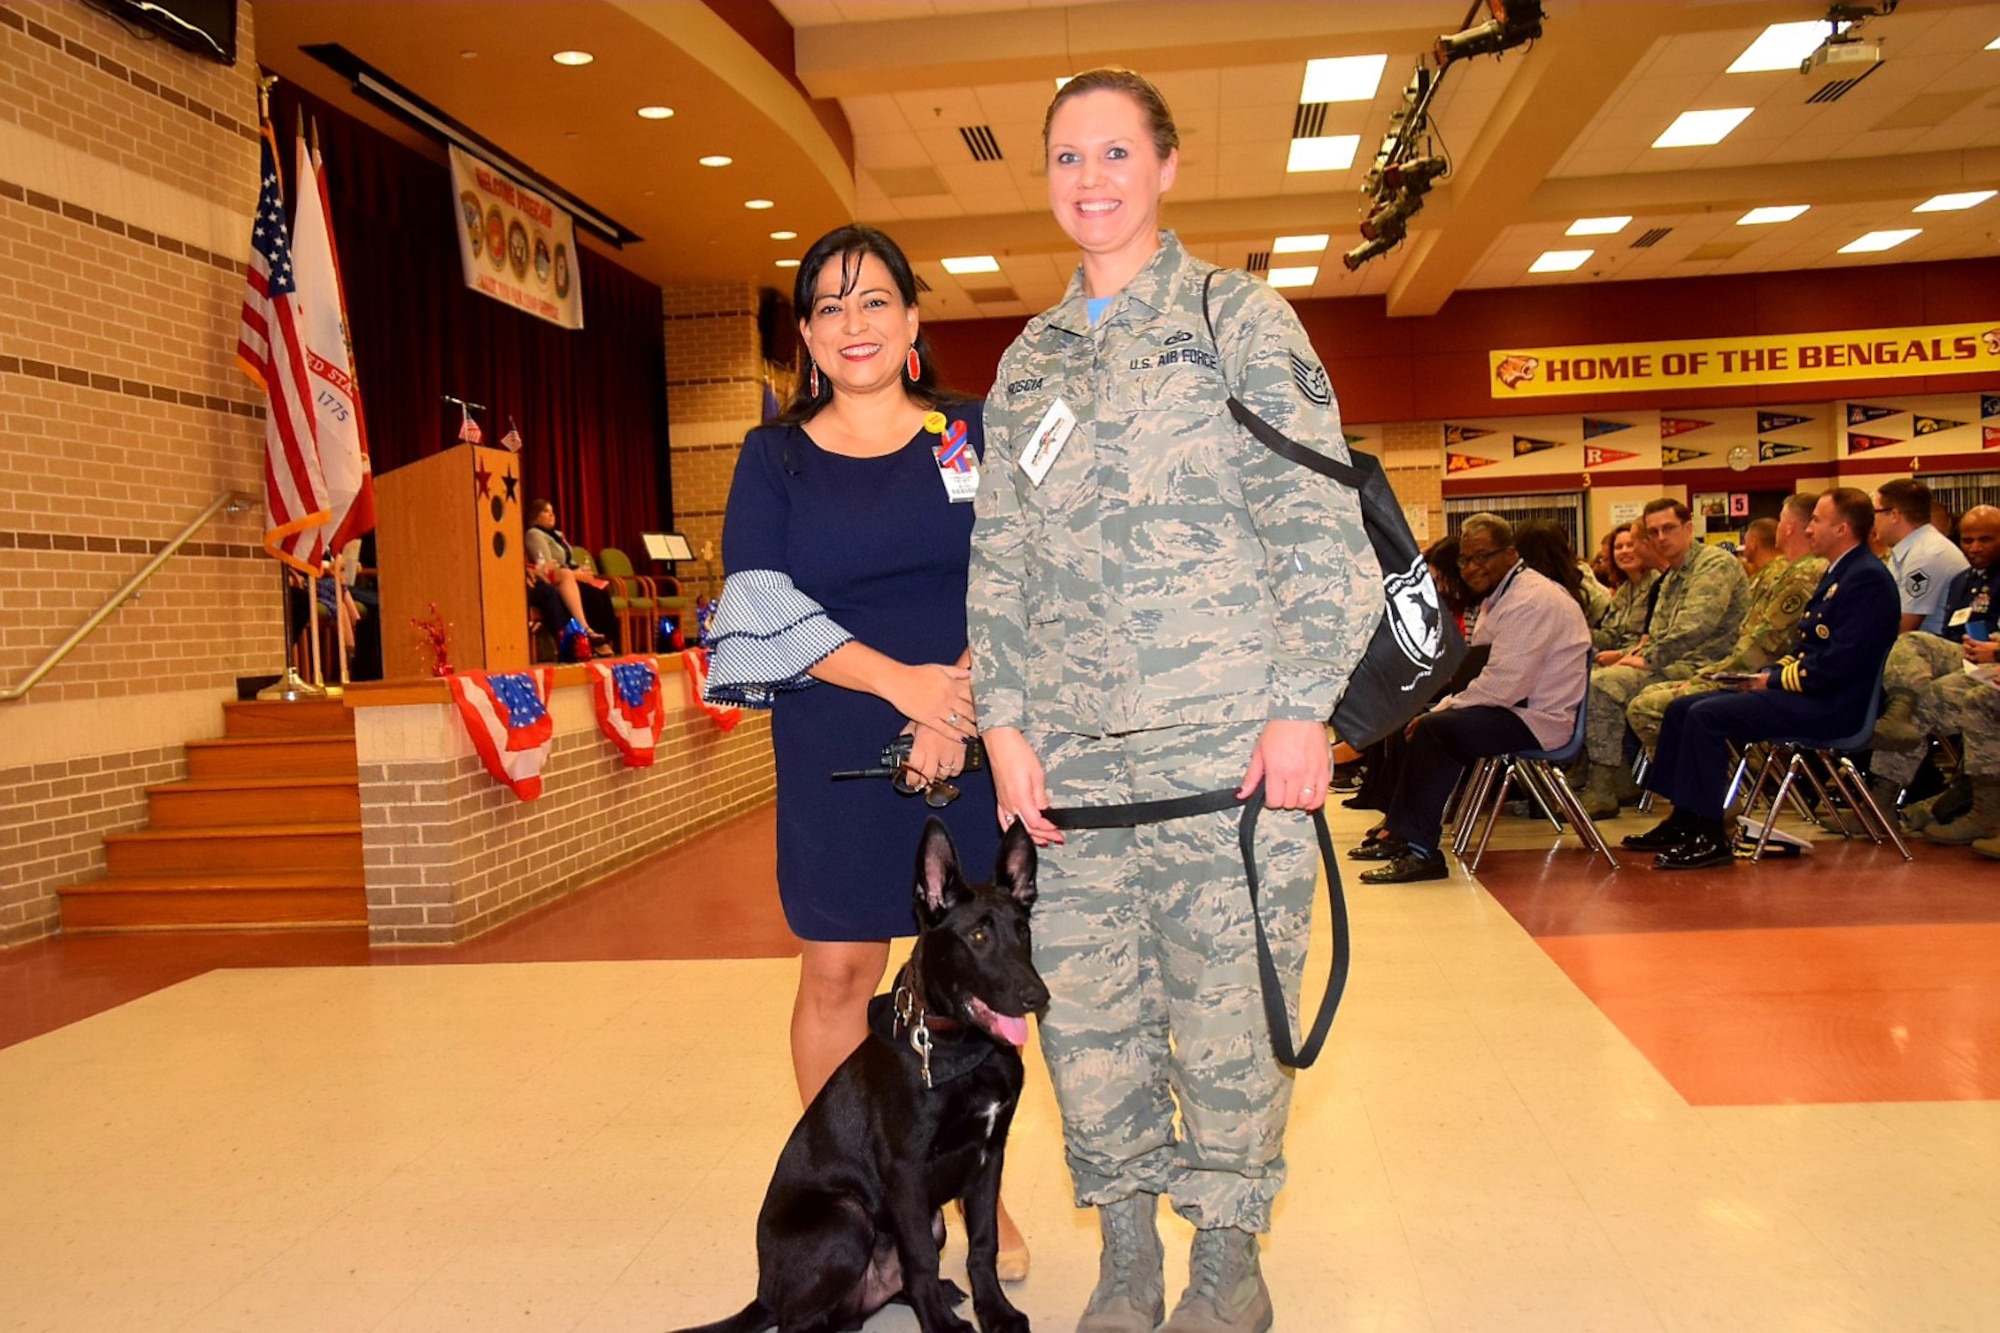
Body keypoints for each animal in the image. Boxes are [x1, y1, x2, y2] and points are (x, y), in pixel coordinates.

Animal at [672, 808, 1048, 1328]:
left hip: (925, 1220)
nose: (1039, 997)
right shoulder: (906, 1169)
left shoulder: (989, 1155)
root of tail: (765, 1294)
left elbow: (982, 1245)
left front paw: (996, 1312)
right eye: (978, 936)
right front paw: (944, 1327)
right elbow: (920, 1258)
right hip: (848, 1216)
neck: (961, 1049)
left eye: (1023, 931)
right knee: (803, 1318)